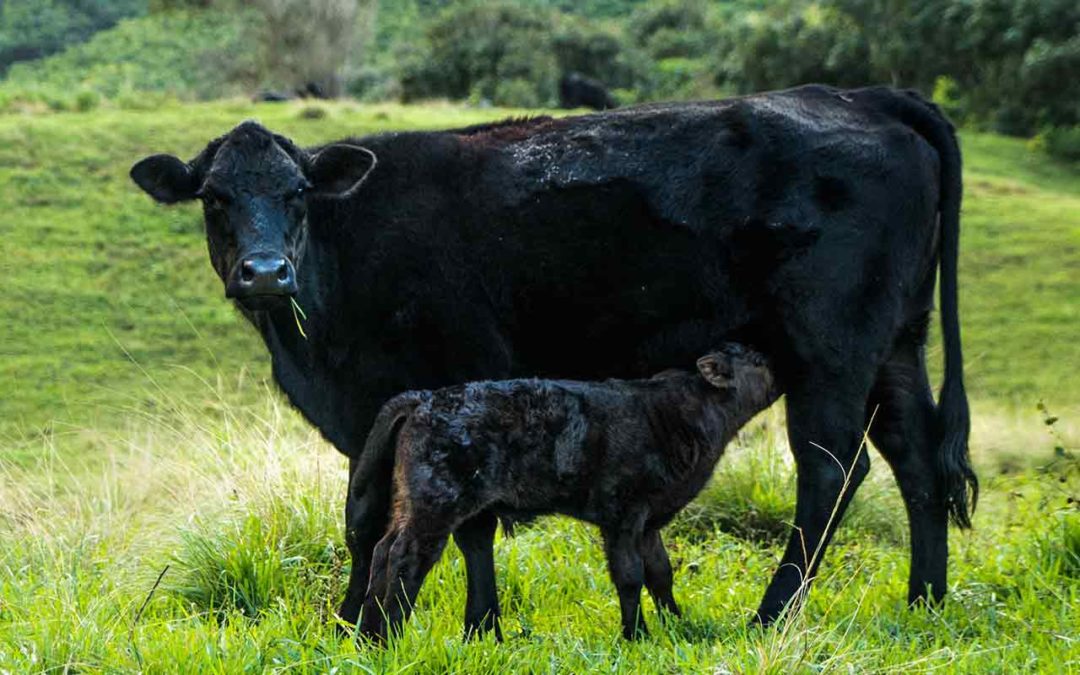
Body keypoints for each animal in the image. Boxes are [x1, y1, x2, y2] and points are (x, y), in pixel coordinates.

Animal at [358, 345, 781, 639]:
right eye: (758, 361)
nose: (782, 370)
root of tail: (425, 398)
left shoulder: (649, 521)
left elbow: (661, 572)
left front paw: (677, 625)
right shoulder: (622, 515)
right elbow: (630, 574)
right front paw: (636, 636)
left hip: (412, 503)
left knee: (382, 551)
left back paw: (368, 639)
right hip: (435, 505)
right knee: (406, 558)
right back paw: (391, 636)